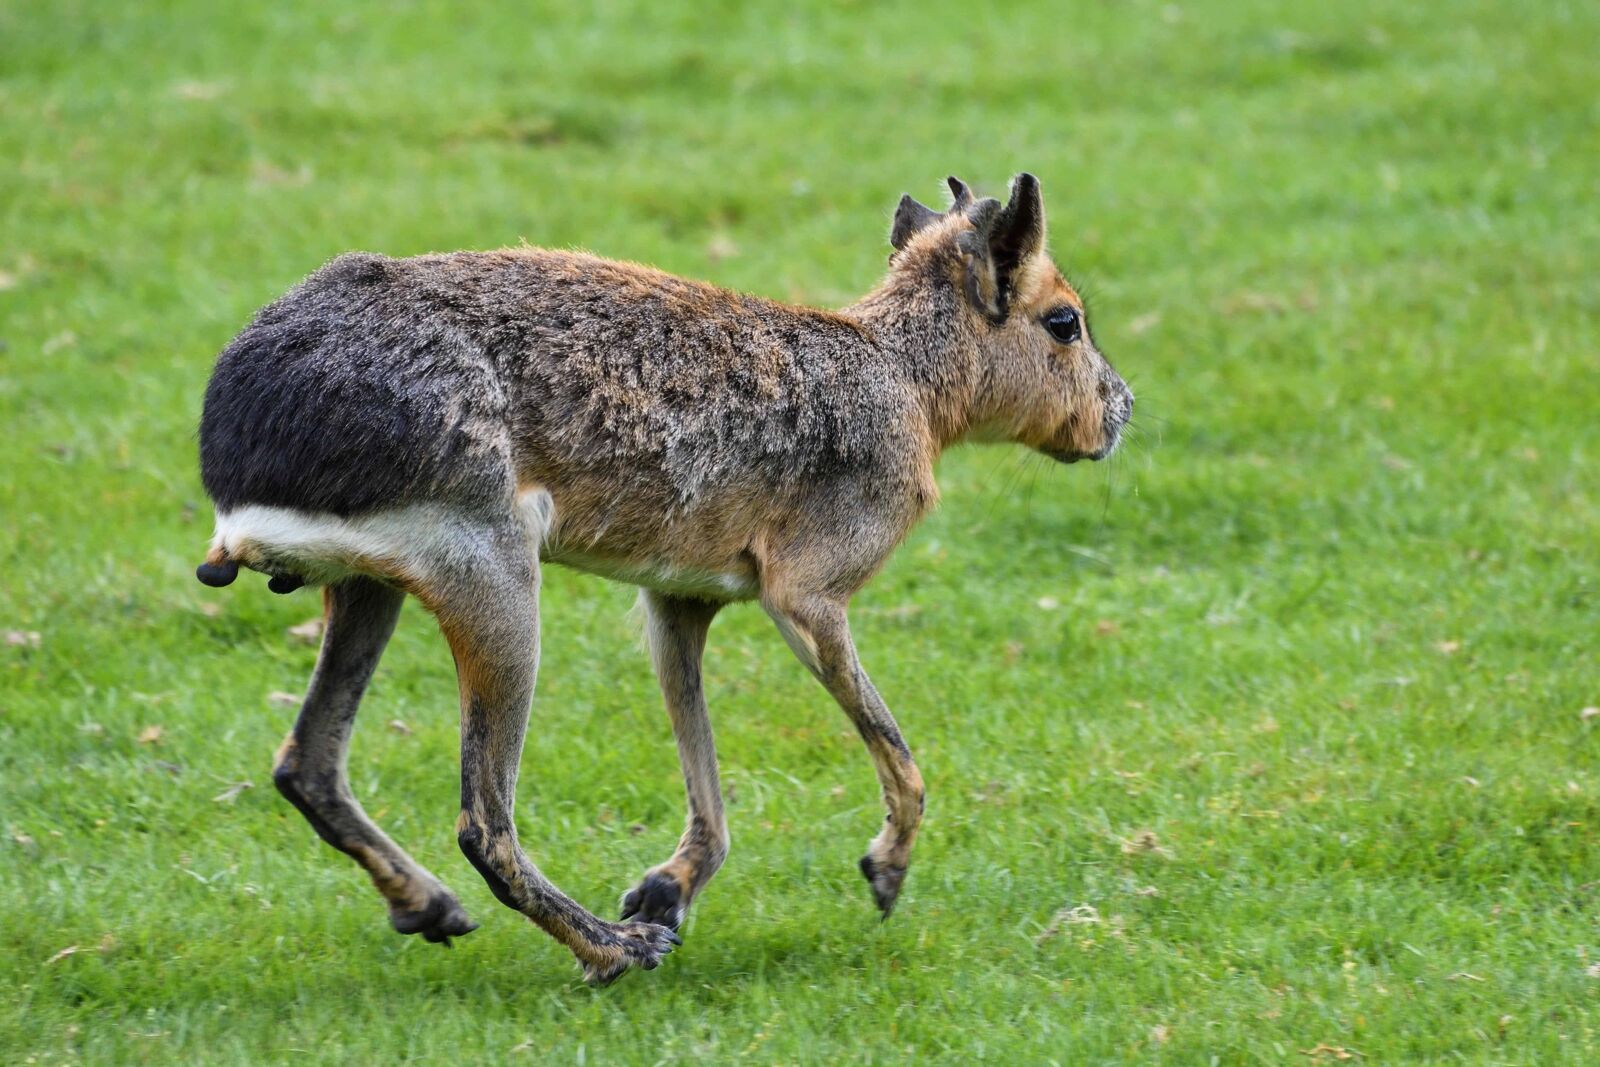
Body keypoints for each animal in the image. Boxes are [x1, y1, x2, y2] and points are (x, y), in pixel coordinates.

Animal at [194, 173, 1133, 984]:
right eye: (1064, 321)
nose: (1122, 412)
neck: (904, 380)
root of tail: (236, 439)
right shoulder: (808, 593)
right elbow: (900, 753)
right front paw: (884, 870)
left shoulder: (679, 597)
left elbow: (704, 770)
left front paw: (665, 890)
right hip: (494, 581)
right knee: (481, 821)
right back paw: (613, 950)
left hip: (371, 587)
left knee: (308, 762)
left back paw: (433, 909)